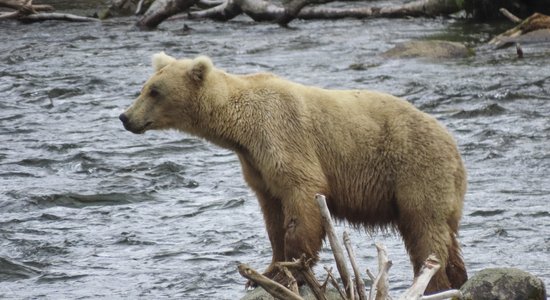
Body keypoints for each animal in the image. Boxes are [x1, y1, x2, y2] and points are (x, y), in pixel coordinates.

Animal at [121, 51, 470, 292]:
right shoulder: (256, 166)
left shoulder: (281, 137)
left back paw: (434, 282)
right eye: (144, 87)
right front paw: (265, 271)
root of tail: (453, 145)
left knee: (425, 231)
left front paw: (290, 268)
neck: (240, 130)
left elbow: (301, 199)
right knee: (446, 236)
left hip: (416, 170)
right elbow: (273, 215)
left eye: (155, 91)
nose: (125, 117)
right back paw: (458, 278)